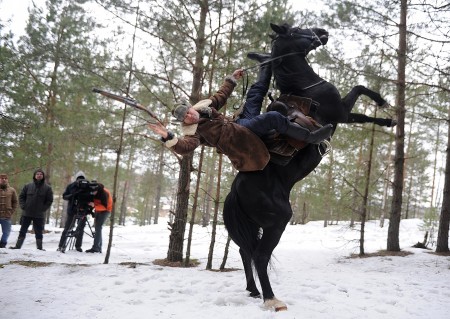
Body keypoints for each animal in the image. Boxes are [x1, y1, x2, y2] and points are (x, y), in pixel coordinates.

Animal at [223, 22, 396, 312]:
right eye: (295, 30)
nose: (322, 31)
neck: (306, 87)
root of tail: (236, 191)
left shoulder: (345, 116)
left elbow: (362, 114)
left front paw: (388, 120)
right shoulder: (340, 111)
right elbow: (359, 87)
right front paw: (382, 102)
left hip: (253, 227)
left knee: (245, 251)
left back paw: (253, 290)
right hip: (277, 223)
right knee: (260, 255)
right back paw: (271, 298)